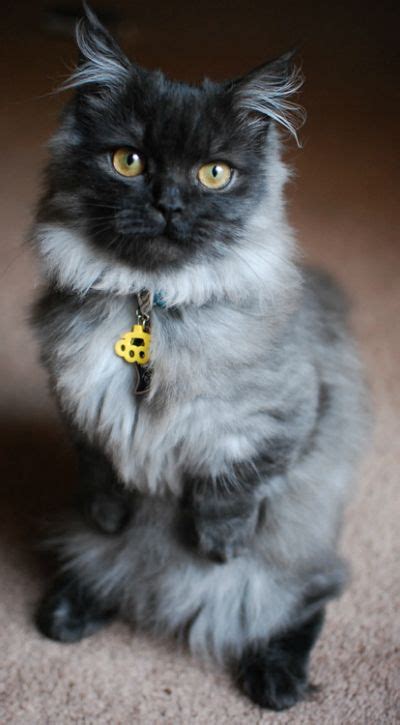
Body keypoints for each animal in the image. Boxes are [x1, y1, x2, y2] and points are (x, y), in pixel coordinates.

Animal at [31, 2, 368, 708]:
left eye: (214, 173)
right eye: (128, 161)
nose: (168, 203)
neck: (152, 304)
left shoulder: (277, 422)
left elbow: (226, 488)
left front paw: (215, 547)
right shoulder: (78, 408)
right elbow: (103, 473)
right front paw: (110, 516)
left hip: (293, 558)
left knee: (308, 600)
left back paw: (276, 680)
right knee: (97, 567)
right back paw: (72, 609)